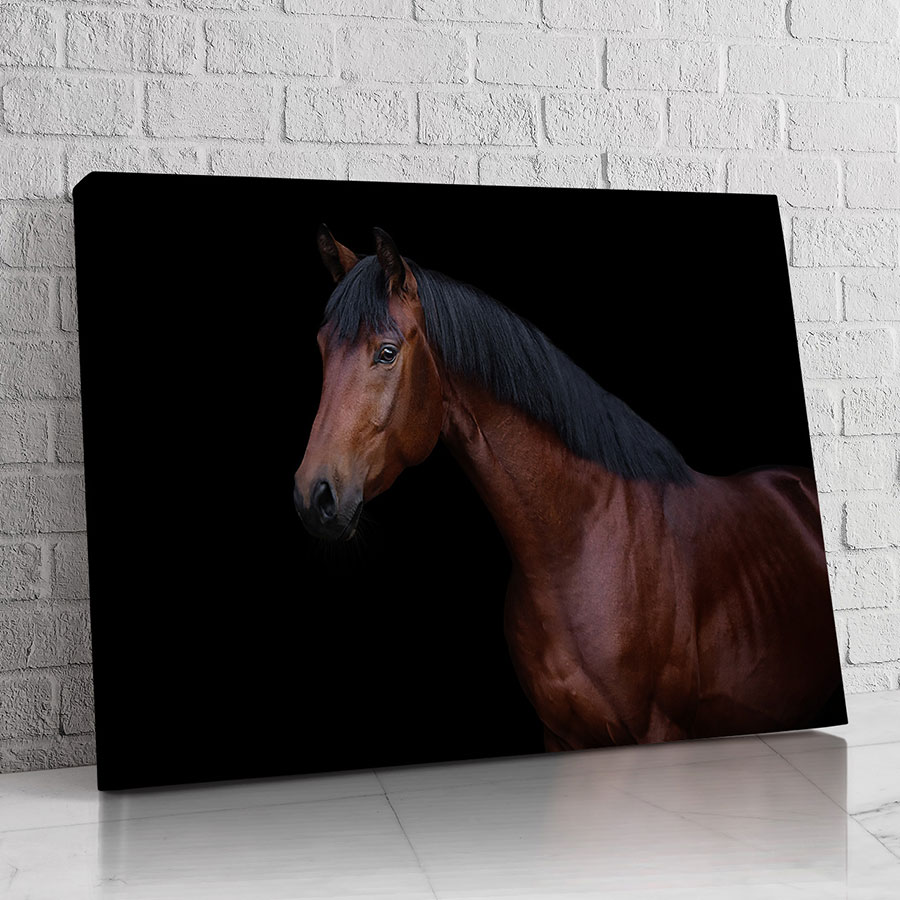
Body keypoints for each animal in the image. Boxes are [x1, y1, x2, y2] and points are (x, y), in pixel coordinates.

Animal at [293, 225, 845, 751]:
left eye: (386, 353)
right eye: (322, 349)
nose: (312, 497)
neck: (578, 548)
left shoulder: (659, 731)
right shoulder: (560, 736)